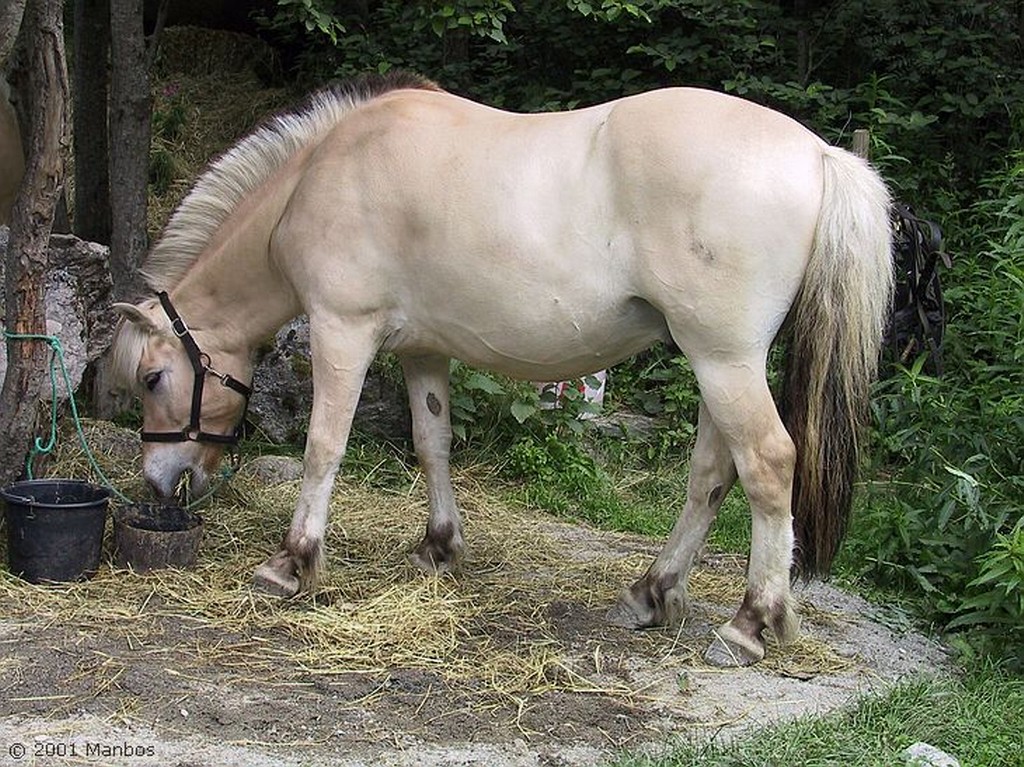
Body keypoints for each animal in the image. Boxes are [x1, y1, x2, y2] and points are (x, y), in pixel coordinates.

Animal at [112, 71, 892, 663]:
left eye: (152, 380)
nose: (158, 483)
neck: (322, 174)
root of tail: (819, 153)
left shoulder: (342, 331)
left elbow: (322, 448)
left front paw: (291, 563)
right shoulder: (422, 349)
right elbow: (432, 444)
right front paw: (438, 548)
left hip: (725, 360)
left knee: (766, 464)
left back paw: (750, 623)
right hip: (714, 362)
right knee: (711, 473)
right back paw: (651, 592)